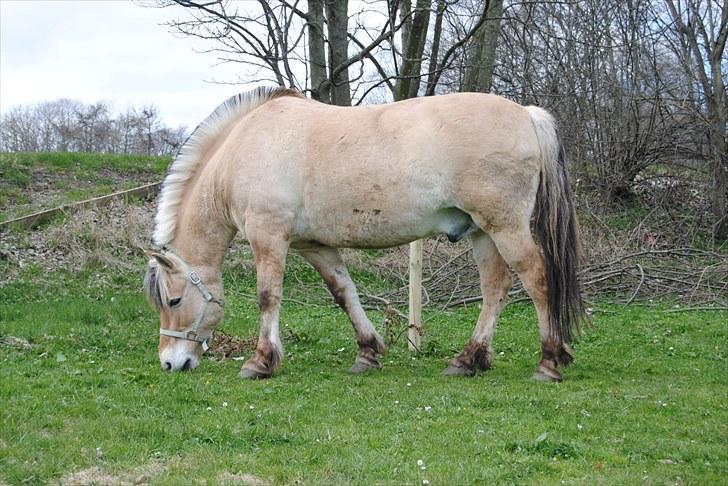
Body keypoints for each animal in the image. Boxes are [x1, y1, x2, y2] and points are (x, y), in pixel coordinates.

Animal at [144, 87, 584, 384]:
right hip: (482, 232)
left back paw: (549, 361)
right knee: (496, 288)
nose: (170, 362)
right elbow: (345, 293)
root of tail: (527, 115)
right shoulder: (314, 245)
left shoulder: (268, 238)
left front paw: (261, 361)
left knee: (537, 279)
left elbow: (268, 297)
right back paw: (468, 359)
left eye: (175, 300)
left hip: (505, 227)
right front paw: (368, 352)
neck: (245, 148)